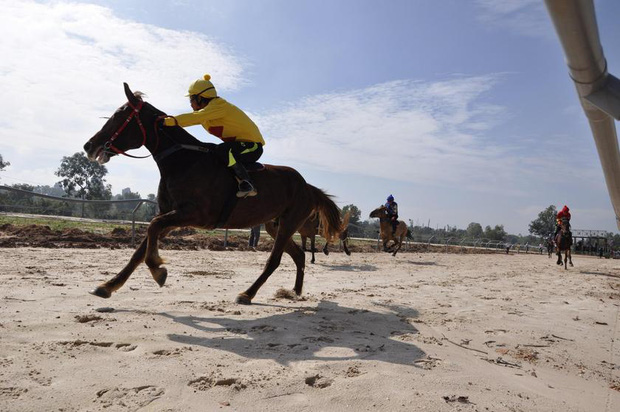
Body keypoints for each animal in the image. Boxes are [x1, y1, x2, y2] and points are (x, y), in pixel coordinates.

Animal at [82, 83, 344, 304]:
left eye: (119, 116)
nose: (89, 145)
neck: (184, 161)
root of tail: (307, 186)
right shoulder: (170, 214)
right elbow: (141, 247)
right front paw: (108, 285)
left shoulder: (195, 215)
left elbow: (152, 229)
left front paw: (158, 269)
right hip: (275, 225)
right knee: (298, 255)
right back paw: (296, 291)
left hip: (289, 222)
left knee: (275, 260)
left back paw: (247, 294)